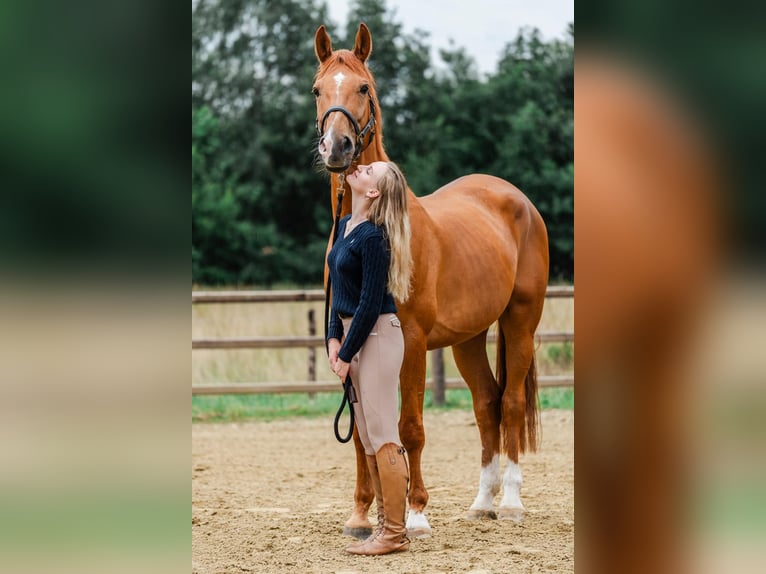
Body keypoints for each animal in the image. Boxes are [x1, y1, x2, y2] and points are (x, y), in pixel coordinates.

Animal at [312, 23, 550, 538]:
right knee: (486, 404)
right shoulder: (349, 338)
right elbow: (361, 432)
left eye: (364, 88)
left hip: (520, 322)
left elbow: (410, 427)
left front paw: (416, 514)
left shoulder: (414, 340)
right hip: (468, 338)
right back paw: (482, 503)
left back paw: (512, 503)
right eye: (318, 89)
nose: (337, 148)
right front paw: (361, 515)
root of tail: (516, 197)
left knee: (511, 405)